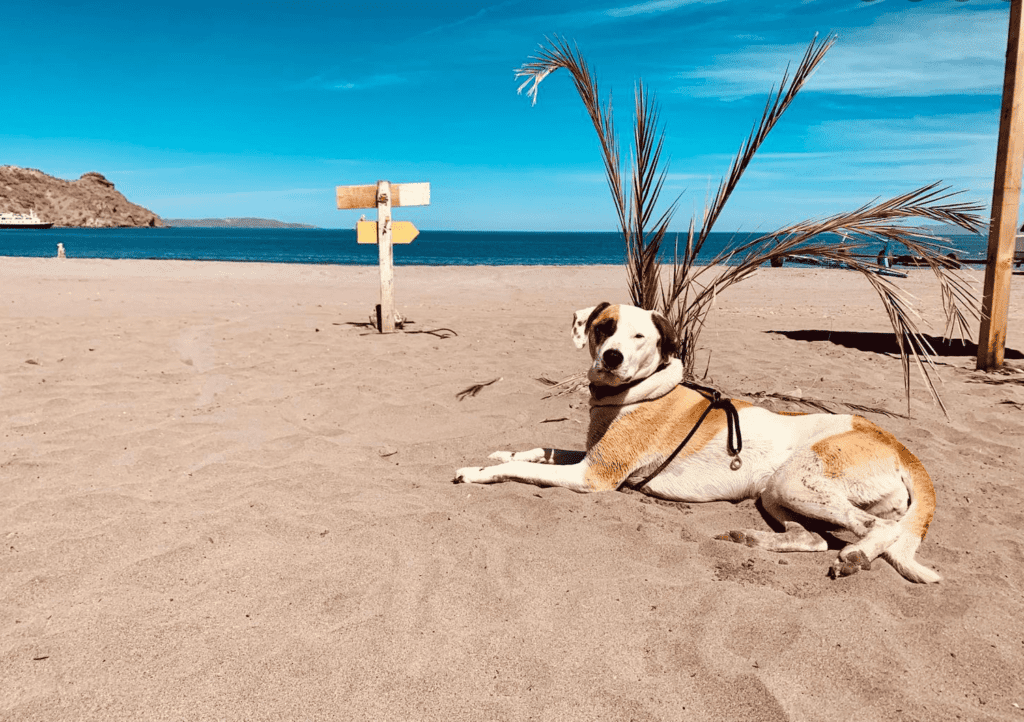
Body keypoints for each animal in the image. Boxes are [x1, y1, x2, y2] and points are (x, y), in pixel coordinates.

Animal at [458, 301, 942, 581]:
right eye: (604, 327)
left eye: (639, 336)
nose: (611, 357)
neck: (635, 392)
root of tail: (896, 443)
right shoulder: (588, 457)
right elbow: (537, 450)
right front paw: (500, 451)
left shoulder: (594, 475)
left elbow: (523, 468)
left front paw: (478, 471)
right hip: (775, 493)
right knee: (815, 538)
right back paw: (752, 540)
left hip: (797, 483)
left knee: (875, 529)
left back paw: (855, 557)